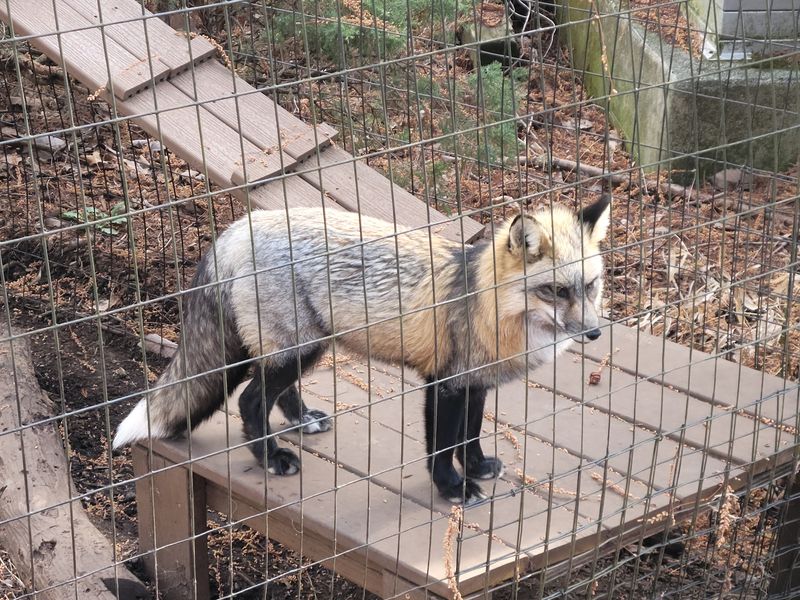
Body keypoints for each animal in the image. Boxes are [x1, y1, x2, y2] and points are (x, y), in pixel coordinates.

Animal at [113, 195, 610, 504]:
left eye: (590, 286)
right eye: (555, 291)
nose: (594, 333)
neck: (487, 303)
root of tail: (238, 227)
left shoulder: (476, 382)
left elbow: (469, 436)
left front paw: (476, 467)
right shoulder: (444, 384)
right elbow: (441, 446)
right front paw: (452, 488)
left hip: (304, 348)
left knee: (275, 392)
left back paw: (301, 420)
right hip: (300, 349)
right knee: (251, 399)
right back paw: (271, 457)